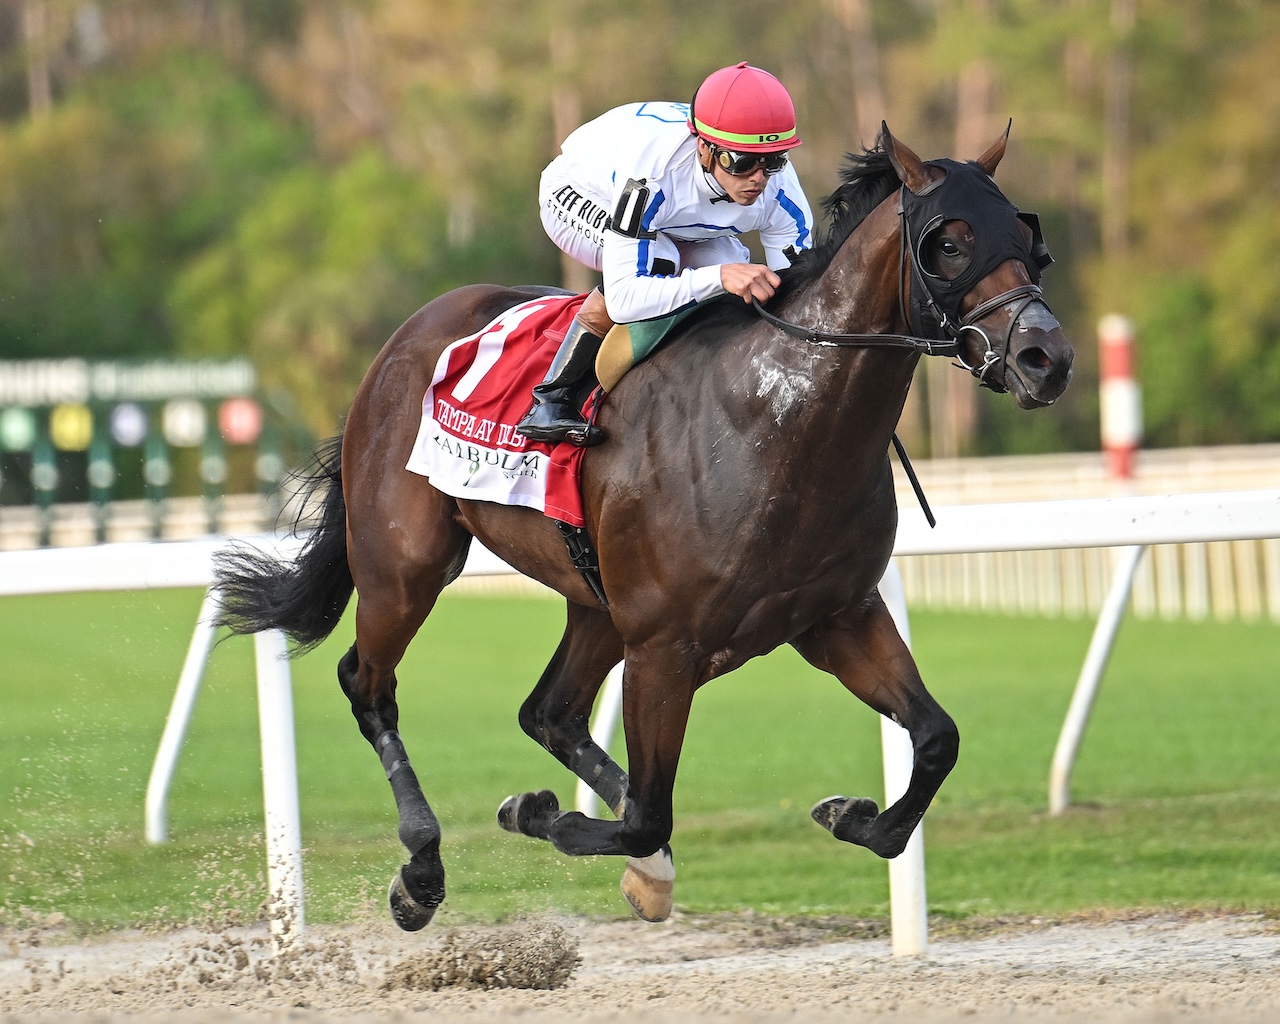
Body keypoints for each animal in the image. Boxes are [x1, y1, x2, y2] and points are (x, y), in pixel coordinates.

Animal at [215, 126, 1075, 926]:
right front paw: (547, 816)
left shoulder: (835, 617)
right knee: (369, 684)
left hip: (594, 598)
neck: (779, 426)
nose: (1046, 358)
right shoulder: (665, 647)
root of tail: (402, 340)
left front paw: (852, 814)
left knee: (548, 711)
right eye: (950, 243)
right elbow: (645, 816)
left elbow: (935, 740)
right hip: (406, 562)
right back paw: (423, 869)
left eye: (1027, 239)